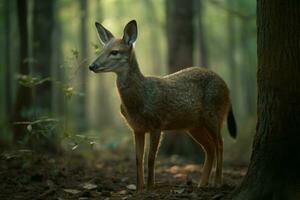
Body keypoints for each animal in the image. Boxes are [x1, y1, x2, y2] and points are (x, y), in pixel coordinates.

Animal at [88, 19, 237, 192]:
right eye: (101, 50)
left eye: (115, 52)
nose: (92, 66)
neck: (140, 99)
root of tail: (227, 88)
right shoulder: (137, 128)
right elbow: (138, 158)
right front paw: (139, 188)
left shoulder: (157, 124)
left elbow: (151, 158)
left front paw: (151, 186)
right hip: (194, 126)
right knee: (210, 148)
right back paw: (202, 184)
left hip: (214, 116)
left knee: (220, 143)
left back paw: (217, 182)